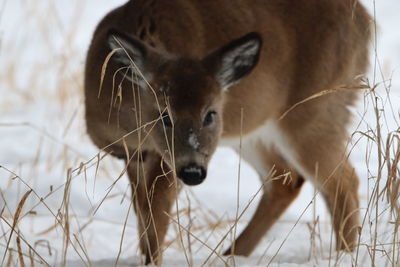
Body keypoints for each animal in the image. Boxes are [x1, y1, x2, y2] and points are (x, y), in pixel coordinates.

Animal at [84, 0, 372, 264]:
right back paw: (232, 255)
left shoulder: (164, 161)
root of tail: (366, 22)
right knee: (285, 180)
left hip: (316, 110)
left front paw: (152, 260)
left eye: (211, 113)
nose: (193, 172)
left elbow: (156, 211)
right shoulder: (134, 155)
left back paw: (344, 255)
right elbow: (144, 212)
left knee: (343, 181)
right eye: (164, 114)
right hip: (254, 130)